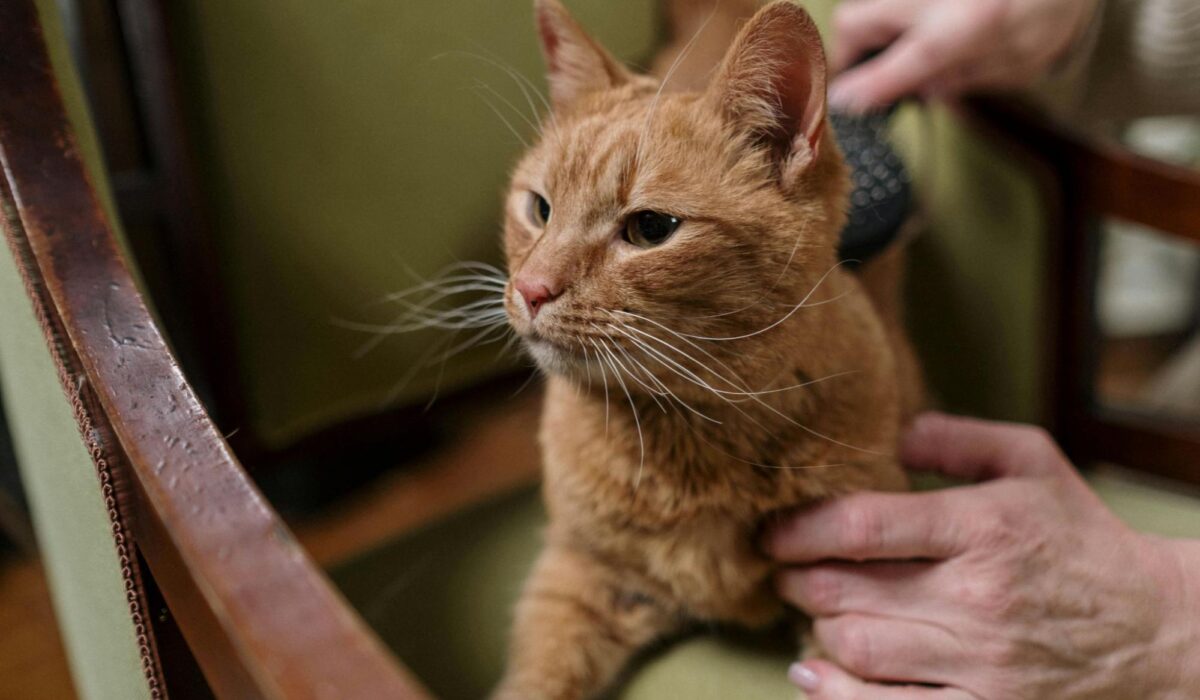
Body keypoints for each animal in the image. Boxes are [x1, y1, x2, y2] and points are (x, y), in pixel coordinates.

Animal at [496, 2, 916, 696]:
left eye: (650, 229)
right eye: (540, 209)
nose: (530, 289)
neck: (685, 446)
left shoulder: (852, 587)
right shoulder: (577, 576)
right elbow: (538, 677)